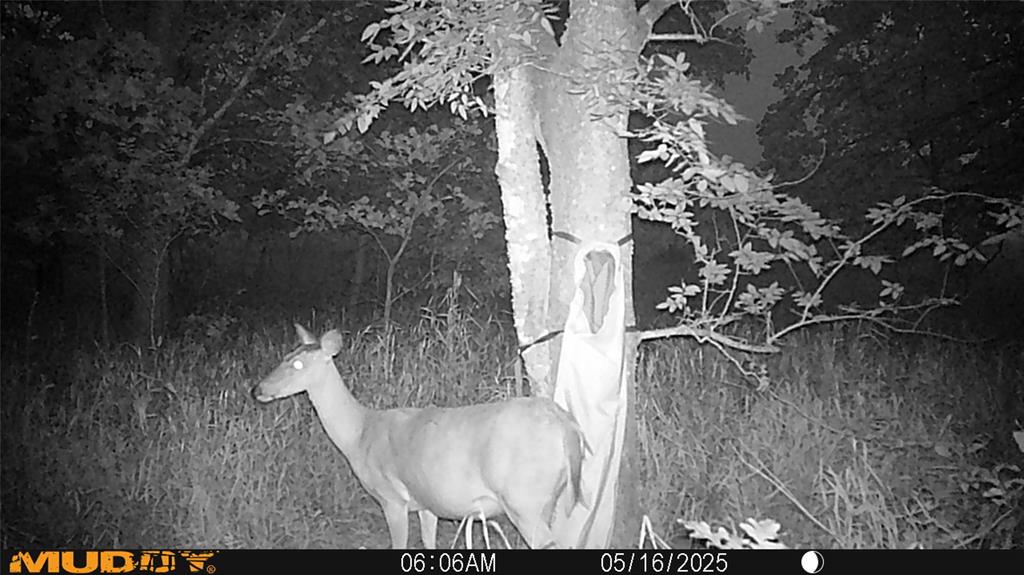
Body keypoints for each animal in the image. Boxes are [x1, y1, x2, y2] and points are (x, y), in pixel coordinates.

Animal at [253, 324, 586, 549]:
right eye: (285, 356)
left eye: (298, 364)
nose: (257, 389)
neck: (359, 436)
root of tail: (566, 426)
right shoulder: (427, 500)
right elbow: (428, 543)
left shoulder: (391, 497)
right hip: (554, 499)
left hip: (524, 498)